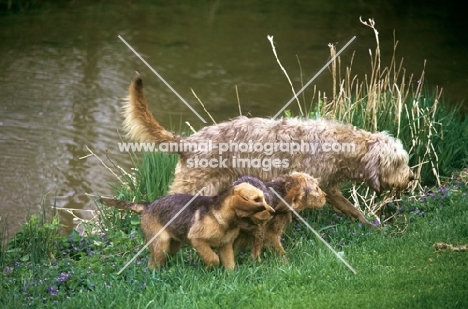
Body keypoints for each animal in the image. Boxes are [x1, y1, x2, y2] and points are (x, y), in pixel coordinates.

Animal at [99, 182, 274, 268]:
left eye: (264, 199)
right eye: (257, 200)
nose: (272, 211)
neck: (224, 219)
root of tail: (147, 206)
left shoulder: (225, 246)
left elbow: (230, 265)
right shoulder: (198, 240)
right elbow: (213, 258)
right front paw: (208, 269)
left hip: (172, 246)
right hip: (161, 243)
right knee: (152, 264)